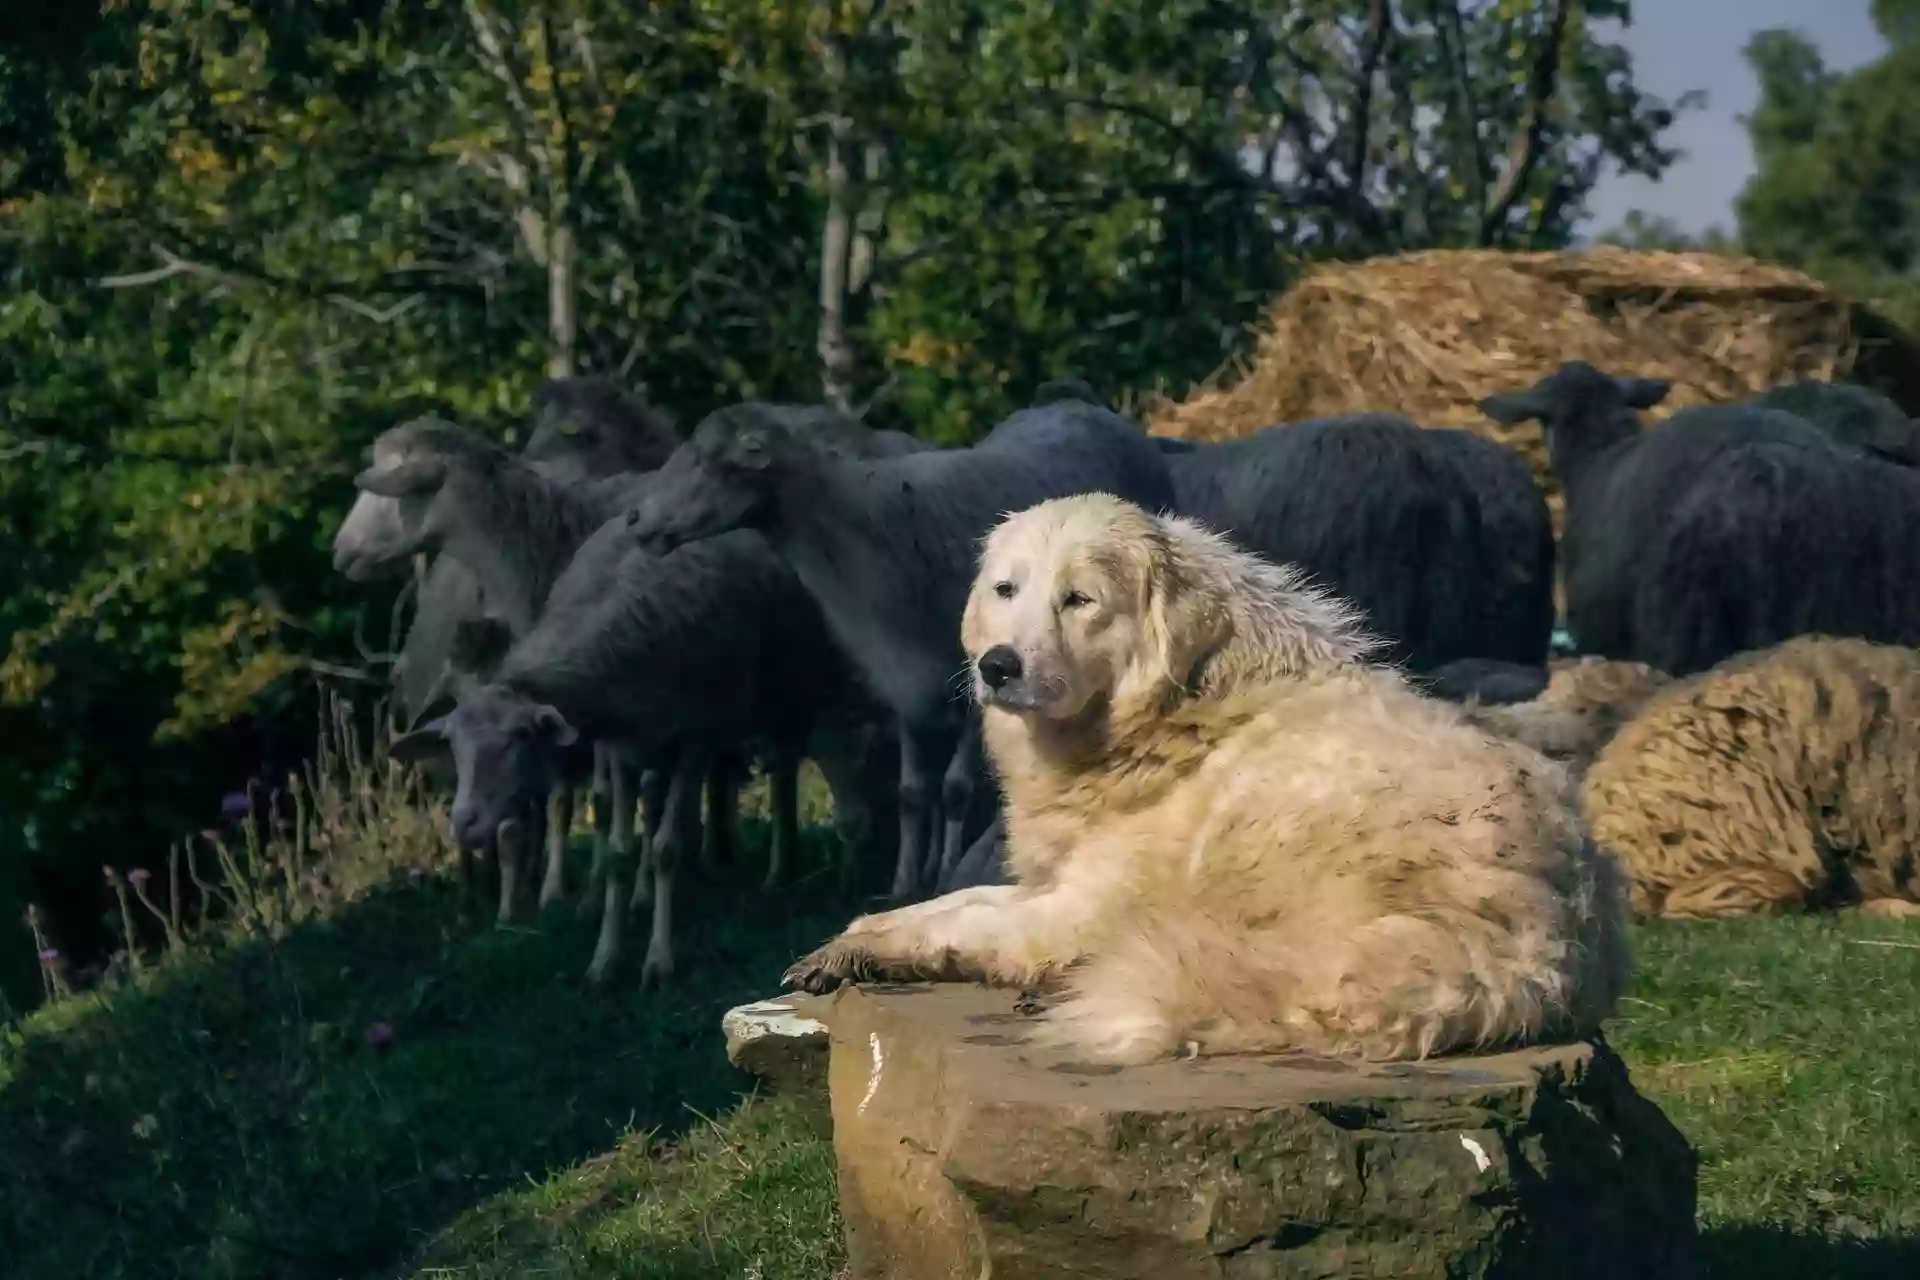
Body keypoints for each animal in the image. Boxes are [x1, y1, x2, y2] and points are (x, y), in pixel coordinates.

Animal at [775, 495, 1620, 1066]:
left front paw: (864, 948)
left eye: (1078, 600)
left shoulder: (1078, 908)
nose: (997, 666)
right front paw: (850, 939)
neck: (1175, 713)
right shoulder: (1055, 880)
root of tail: (1557, 939)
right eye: (1006, 591)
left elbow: (967, 924)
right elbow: (954, 901)